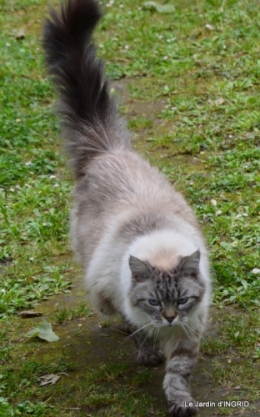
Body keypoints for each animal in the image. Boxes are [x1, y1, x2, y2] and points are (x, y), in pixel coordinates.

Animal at [43, 1, 211, 414]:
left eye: (181, 300)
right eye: (153, 301)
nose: (168, 319)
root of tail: (108, 150)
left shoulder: (190, 329)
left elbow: (178, 371)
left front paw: (180, 400)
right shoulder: (116, 295)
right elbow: (137, 328)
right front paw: (147, 352)